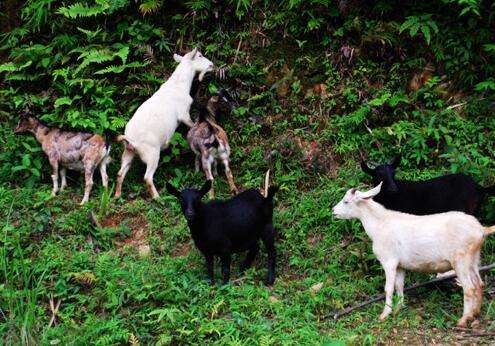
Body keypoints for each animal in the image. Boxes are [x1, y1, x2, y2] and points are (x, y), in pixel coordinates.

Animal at [114, 49, 215, 200]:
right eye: (200, 55)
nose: (212, 65)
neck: (178, 85)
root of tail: (130, 140)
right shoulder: (183, 114)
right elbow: (191, 124)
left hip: (128, 152)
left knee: (120, 173)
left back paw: (117, 195)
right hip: (152, 154)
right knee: (147, 177)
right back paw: (158, 198)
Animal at [334, 182, 495, 328]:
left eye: (346, 201)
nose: (333, 211)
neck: (380, 225)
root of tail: (481, 229)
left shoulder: (389, 261)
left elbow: (388, 288)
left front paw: (384, 314)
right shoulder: (400, 265)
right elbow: (399, 286)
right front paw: (398, 309)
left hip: (461, 260)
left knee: (469, 288)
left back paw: (463, 320)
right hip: (473, 259)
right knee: (479, 283)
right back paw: (475, 314)